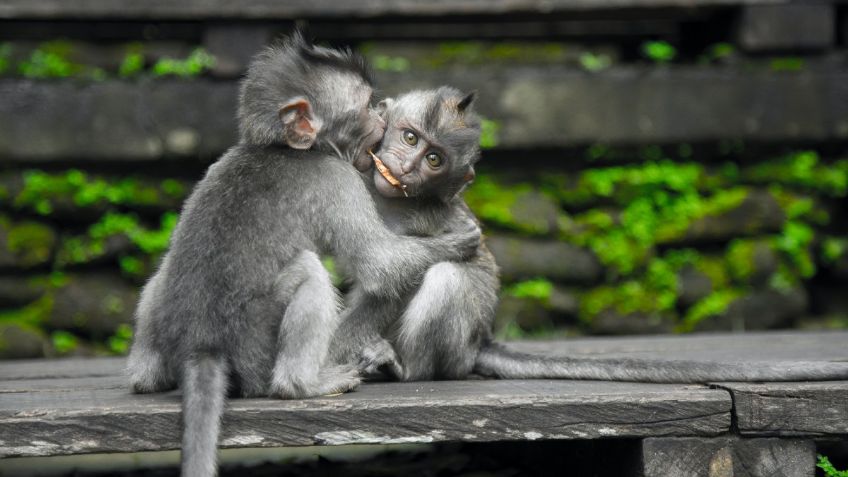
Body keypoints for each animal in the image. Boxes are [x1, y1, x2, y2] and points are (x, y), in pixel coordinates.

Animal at [126, 34, 484, 476]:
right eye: (366, 107)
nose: (382, 116)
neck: (281, 148)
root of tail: (201, 346)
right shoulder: (337, 178)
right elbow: (380, 265)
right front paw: (458, 240)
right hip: (256, 349)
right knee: (309, 274)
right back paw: (304, 383)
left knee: (160, 277)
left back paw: (147, 377)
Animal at [328, 85, 848, 384]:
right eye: (409, 138)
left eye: (434, 160)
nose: (407, 168)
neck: (394, 200)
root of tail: (481, 340)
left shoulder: (429, 216)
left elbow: (396, 278)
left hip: (457, 345)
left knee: (447, 277)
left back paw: (407, 369)